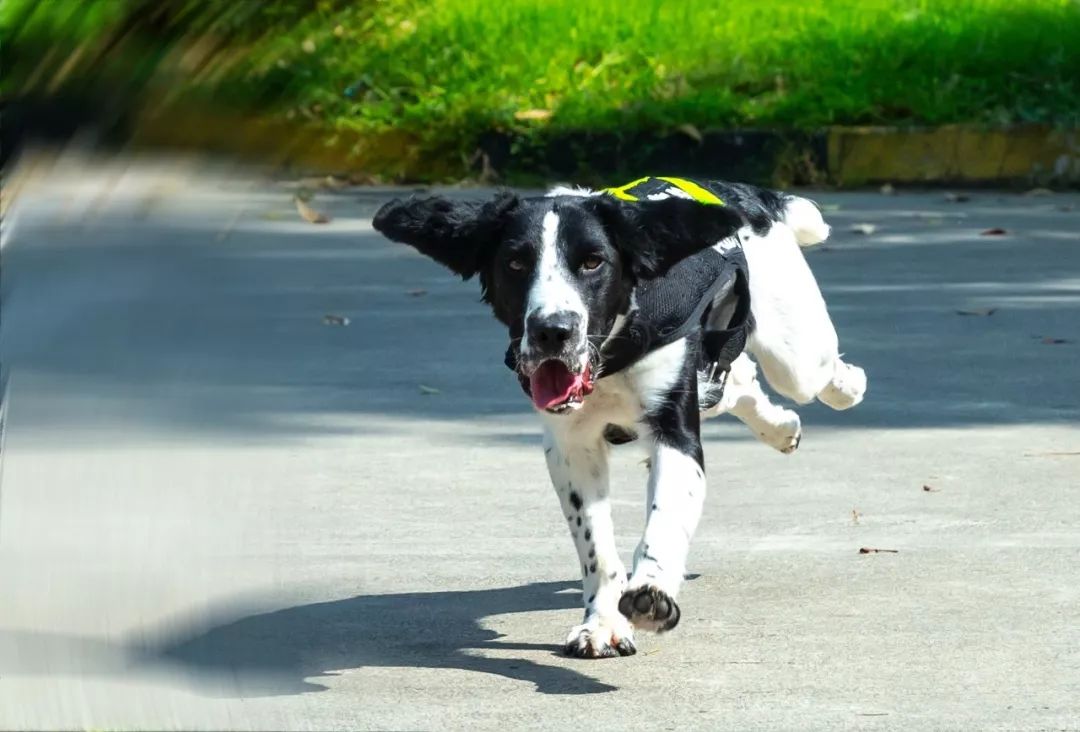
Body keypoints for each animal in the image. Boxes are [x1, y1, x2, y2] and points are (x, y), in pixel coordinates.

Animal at [375, 175, 864, 660]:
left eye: (593, 262)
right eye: (515, 263)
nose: (553, 331)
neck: (611, 354)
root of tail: (746, 194)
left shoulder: (674, 429)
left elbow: (665, 519)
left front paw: (652, 592)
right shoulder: (571, 447)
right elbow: (596, 546)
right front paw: (603, 623)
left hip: (794, 354)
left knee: (805, 374)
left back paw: (846, 385)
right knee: (736, 378)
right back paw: (782, 428)